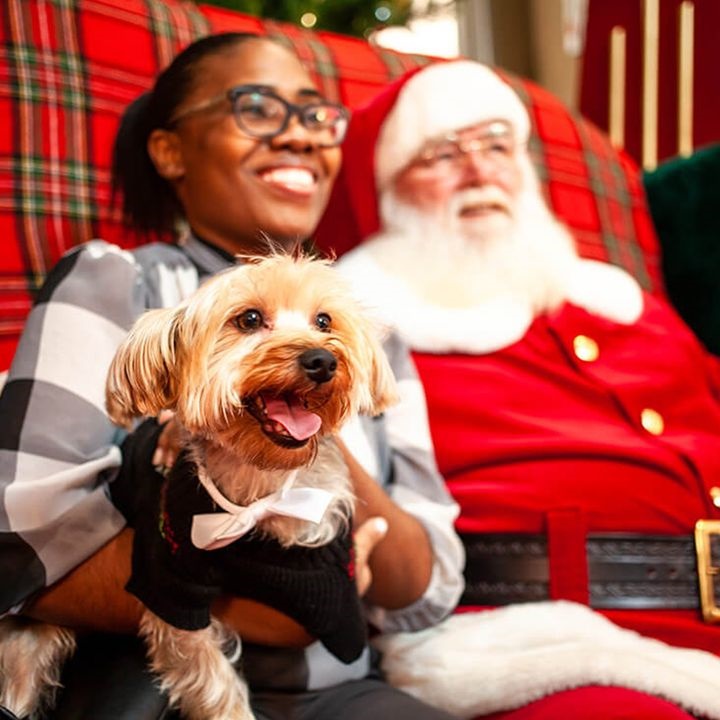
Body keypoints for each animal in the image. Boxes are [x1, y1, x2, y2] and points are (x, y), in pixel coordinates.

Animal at [0, 250, 396, 716]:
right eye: (248, 319)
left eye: (323, 321)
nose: (323, 360)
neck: (258, 484)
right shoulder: (169, 581)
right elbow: (210, 678)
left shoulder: (331, 588)